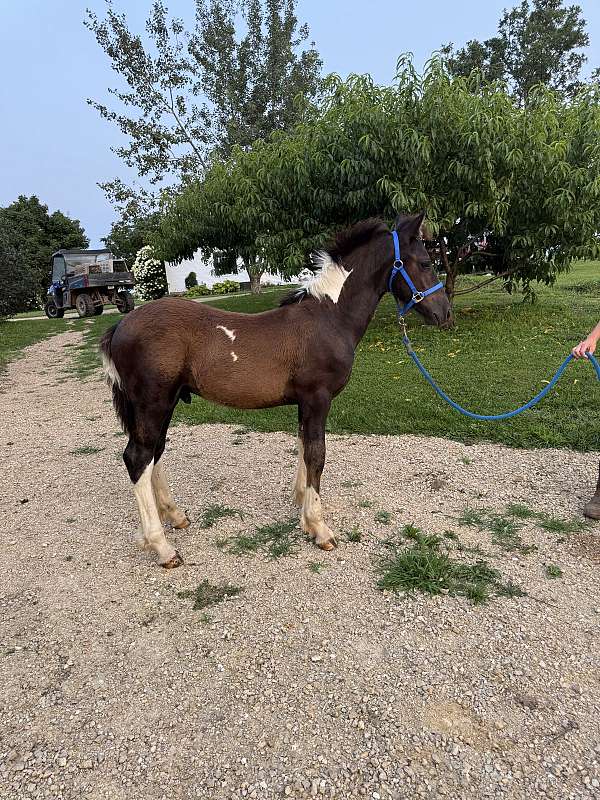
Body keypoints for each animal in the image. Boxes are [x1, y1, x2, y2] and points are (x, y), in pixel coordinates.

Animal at [100, 213, 453, 568]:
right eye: (425, 262)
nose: (444, 313)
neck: (329, 318)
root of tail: (120, 325)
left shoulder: (305, 402)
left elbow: (303, 446)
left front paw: (302, 508)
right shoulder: (318, 398)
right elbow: (317, 454)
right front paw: (319, 528)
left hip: (165, 403)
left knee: (154, 452)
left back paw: (176, 516)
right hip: (153, 403)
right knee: (138, 457)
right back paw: (162, 547)